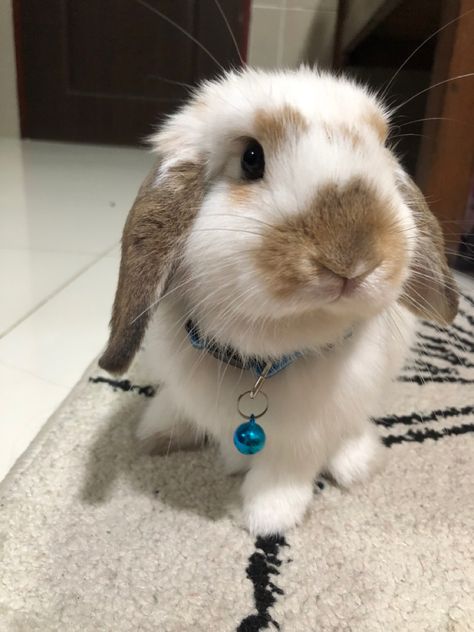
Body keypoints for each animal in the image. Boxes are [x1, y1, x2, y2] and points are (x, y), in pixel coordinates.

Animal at [100, 68, 460, 532]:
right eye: (251, 158)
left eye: (381, 149)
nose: (352, 259)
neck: (263, 361)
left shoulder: (307, 432)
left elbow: (285, 468)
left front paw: (269, 517)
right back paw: (157, 429)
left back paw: (356, 462)